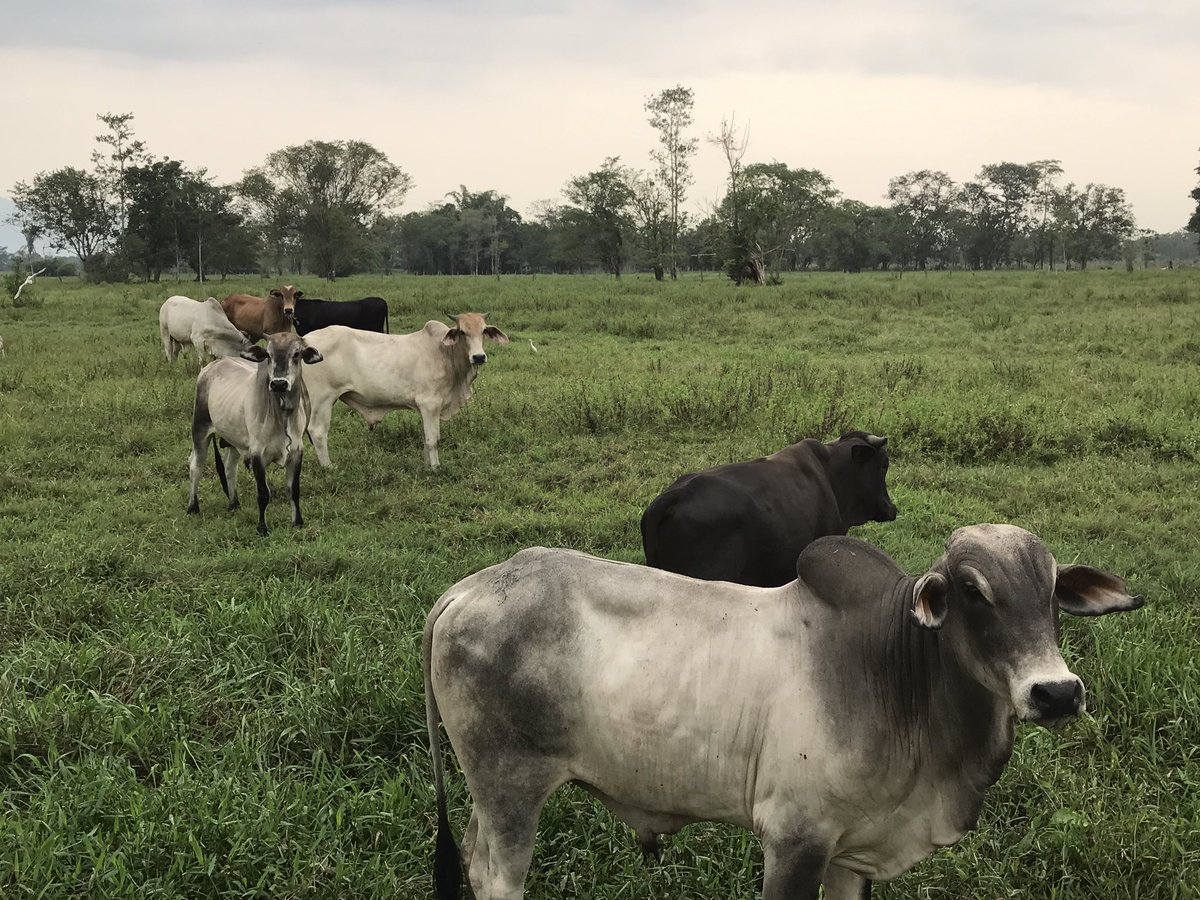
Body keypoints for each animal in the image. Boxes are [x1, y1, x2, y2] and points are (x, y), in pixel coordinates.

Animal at [184, 331, 324, 535]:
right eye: (268, 355)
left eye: (296, 354)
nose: (279, 383)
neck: (282, 416)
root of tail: (214, 365)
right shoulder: (257, 454)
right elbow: (263, 493)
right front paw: (262, 527)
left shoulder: (297, 452)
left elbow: (294, 490)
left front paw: (298, 522)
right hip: (200, 429)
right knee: (196, 465)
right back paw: (193, 507)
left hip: (234, 439)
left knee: (229, 466)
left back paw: (234, 503)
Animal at [424, 525, 1142, 900]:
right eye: (973, 592)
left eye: (1051, 592)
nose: (1056, 692)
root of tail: (471, 588)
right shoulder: (796, 838)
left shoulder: (855, 854)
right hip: (512, 787)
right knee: (498, 877)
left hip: (488, 793)